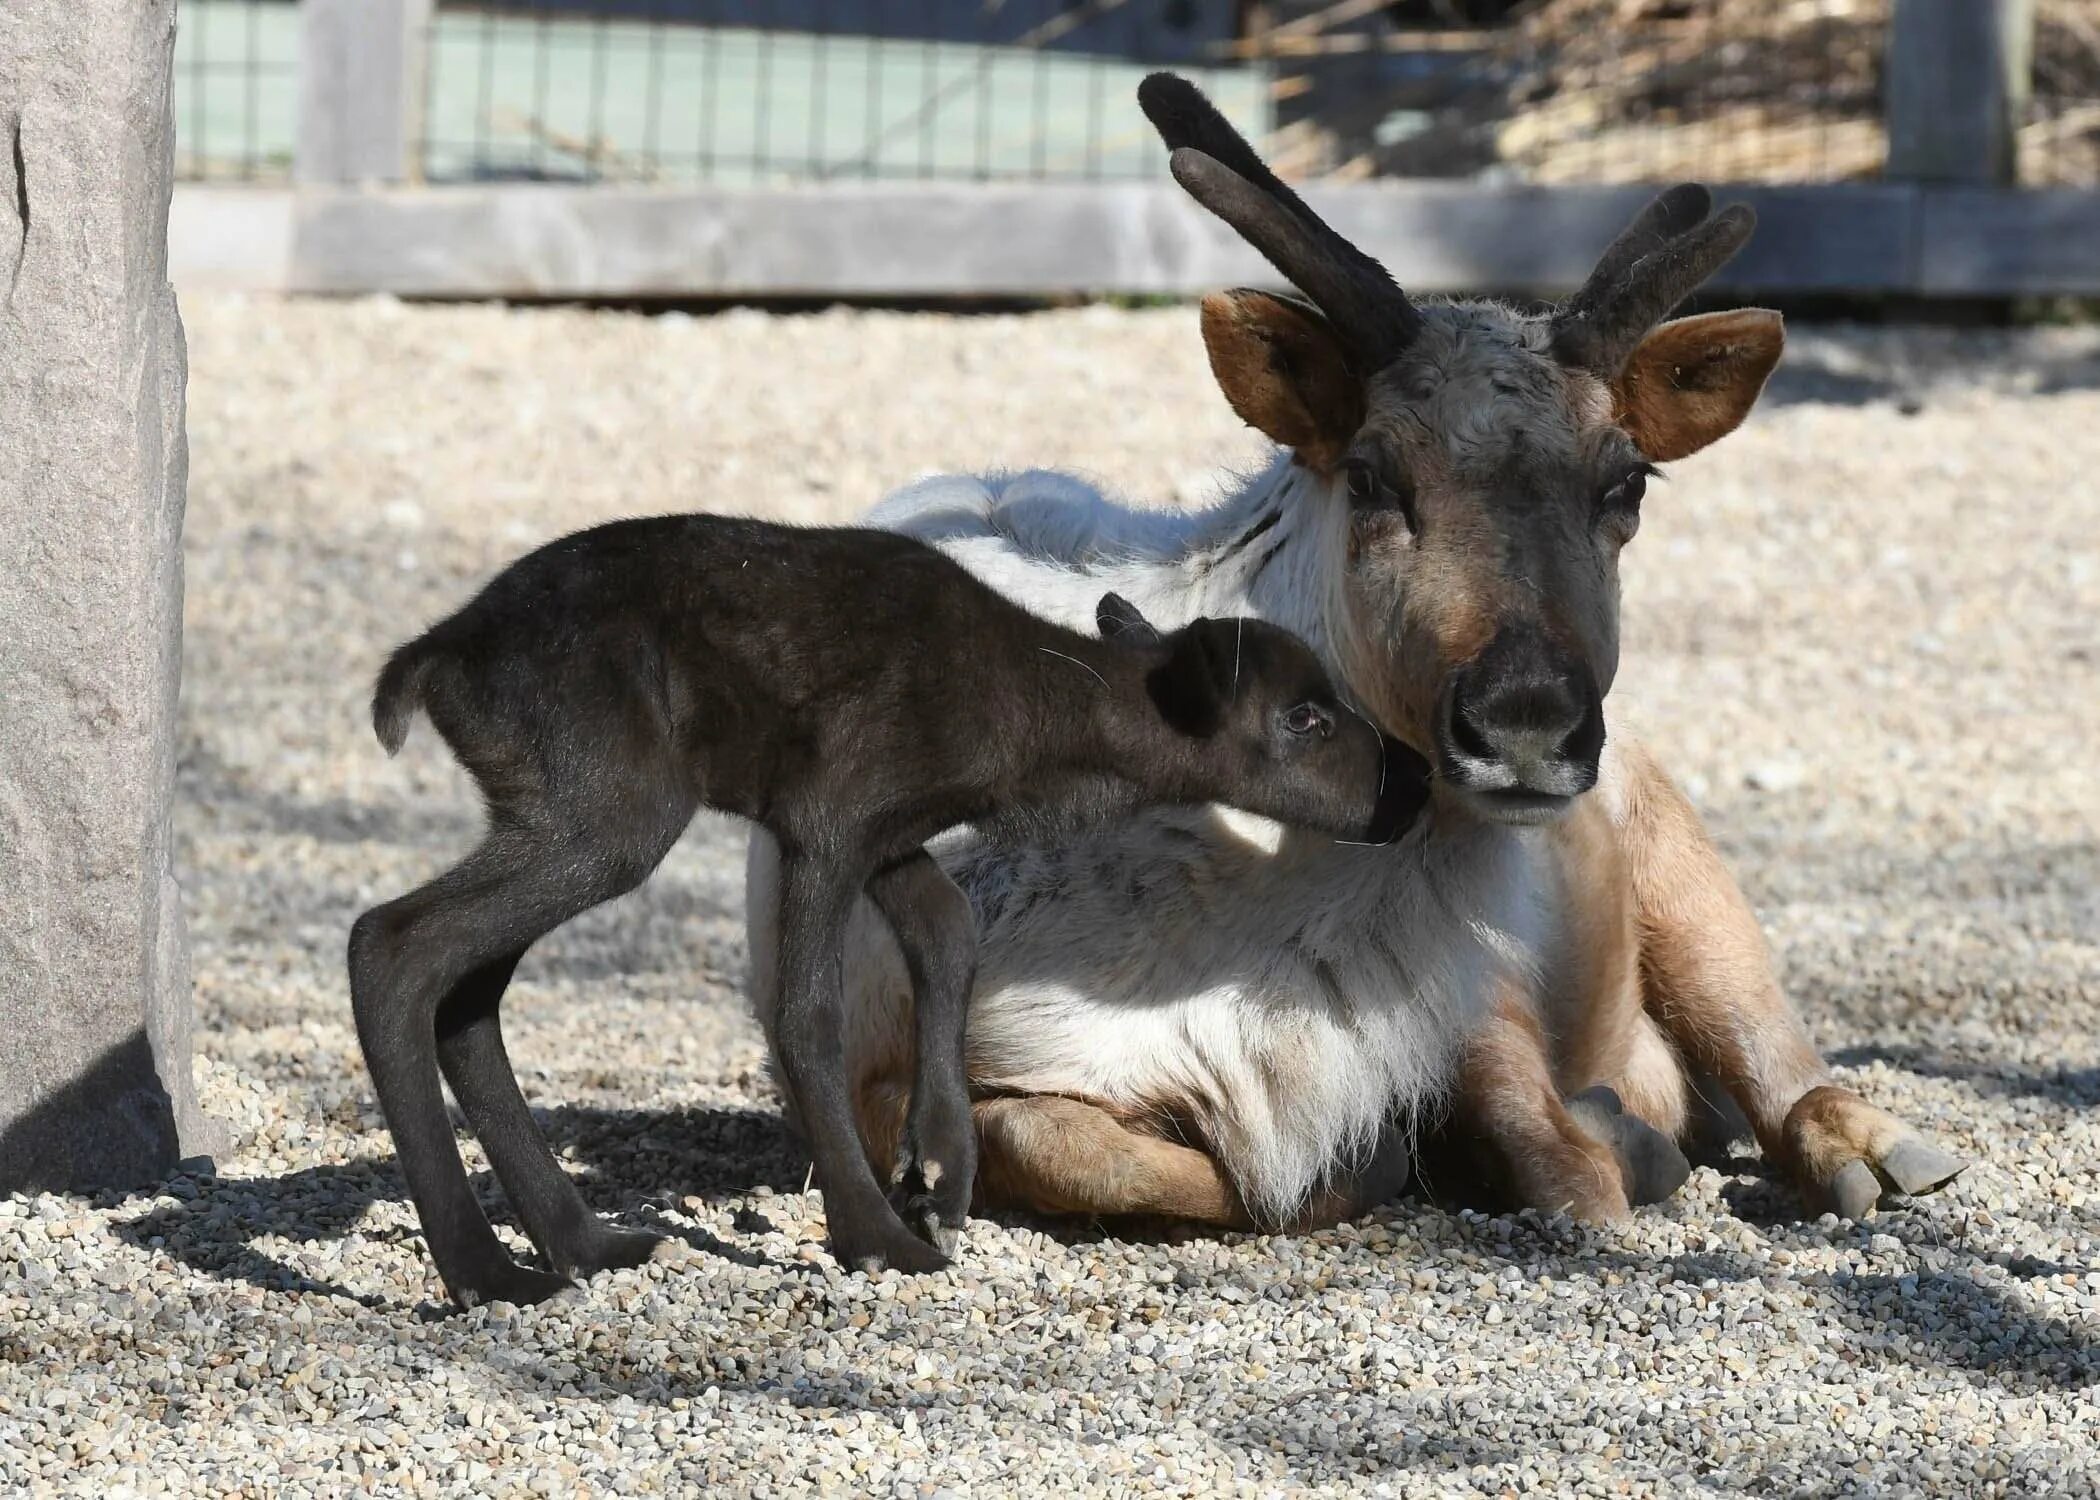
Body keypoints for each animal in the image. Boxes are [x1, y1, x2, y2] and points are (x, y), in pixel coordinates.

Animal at [352, 508, 1427, 1302]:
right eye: (1303, 717)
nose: (1413, 781)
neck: (1031, 724)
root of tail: (432, 658)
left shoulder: (888, 834)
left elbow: (950, 936)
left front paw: (939, 1175)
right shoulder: (824, 817)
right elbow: (805, 1014)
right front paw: (875, 1232)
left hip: (545, 812)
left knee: (468, 996)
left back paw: (584, 1244)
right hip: (608, 811)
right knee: (392, 942)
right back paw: (487, 1272)